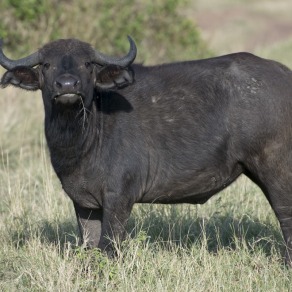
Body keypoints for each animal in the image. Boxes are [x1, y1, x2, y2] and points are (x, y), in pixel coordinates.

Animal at [0, 36, 292, 264]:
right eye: (46, 64)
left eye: (87, 64)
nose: (68, 86)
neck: (84, 136)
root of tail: (284, 74)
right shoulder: (83, 203)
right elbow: (89, 246)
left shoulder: (119, 199)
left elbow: (108, 247)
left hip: (277, 172)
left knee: (286, 217)